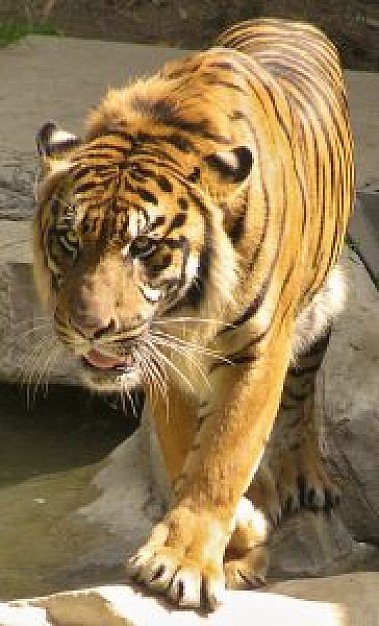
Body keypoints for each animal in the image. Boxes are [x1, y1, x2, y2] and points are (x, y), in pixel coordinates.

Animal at [33, 17, 356, 608]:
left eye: (143, 247)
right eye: (69, 240)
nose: (91, 329)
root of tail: (288, 20)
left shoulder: (258, 351)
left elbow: (223, 456)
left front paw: (180, 564)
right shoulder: (166, 360)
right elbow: (189, 450)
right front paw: (235, 537)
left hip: (321, 306)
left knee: (300, 401)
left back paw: (305, 479)